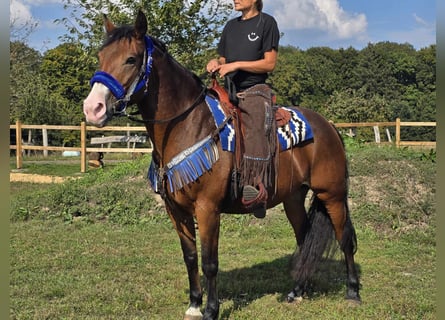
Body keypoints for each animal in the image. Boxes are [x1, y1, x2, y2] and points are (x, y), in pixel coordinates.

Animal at [83, 10, 360, 320]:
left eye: (131, 59)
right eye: (100, 56)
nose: (92, 108)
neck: (188, 125)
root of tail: (329, 126)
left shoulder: (208, 208)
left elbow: (210, 262)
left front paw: (211, 310)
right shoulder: (175, 210)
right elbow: (191, 257)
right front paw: (194, 304)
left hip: (332, 194)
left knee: (345, 238)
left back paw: (352, 291)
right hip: (293, 197)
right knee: (303, 237)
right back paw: (297, 291)